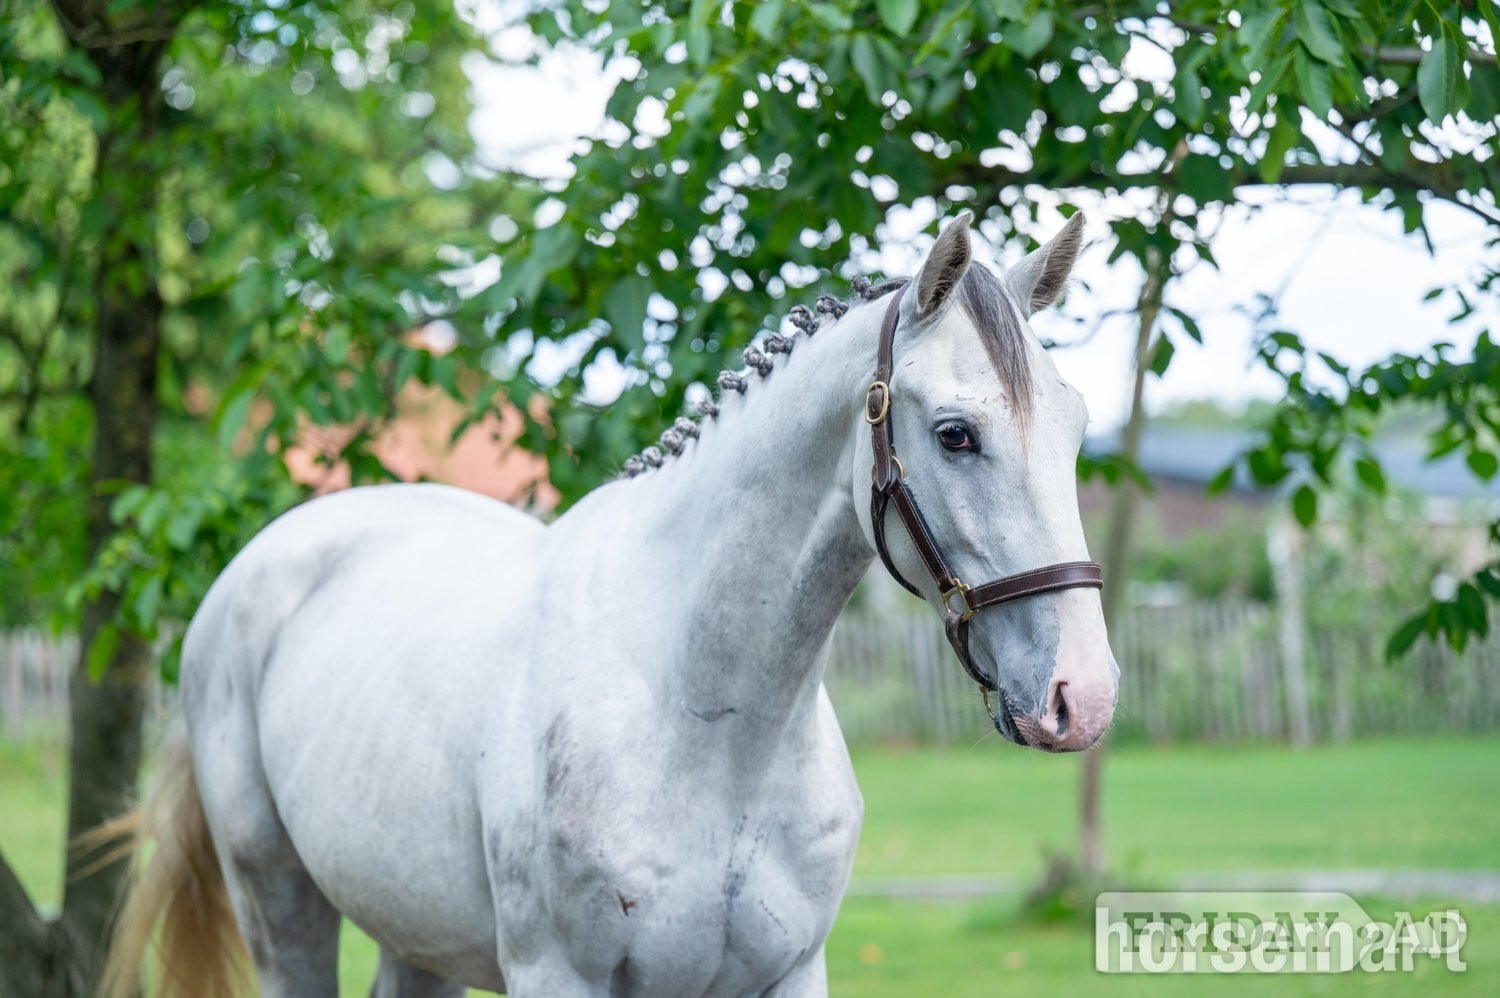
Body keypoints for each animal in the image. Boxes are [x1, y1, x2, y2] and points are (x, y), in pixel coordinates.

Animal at [103, 207, 1119, 997]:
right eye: (954, 434)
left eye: (1076, 427)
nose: (1084, 695)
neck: (709, 723)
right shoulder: (560, 976)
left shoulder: (790, 974)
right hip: (278, 905)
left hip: (413, 932)